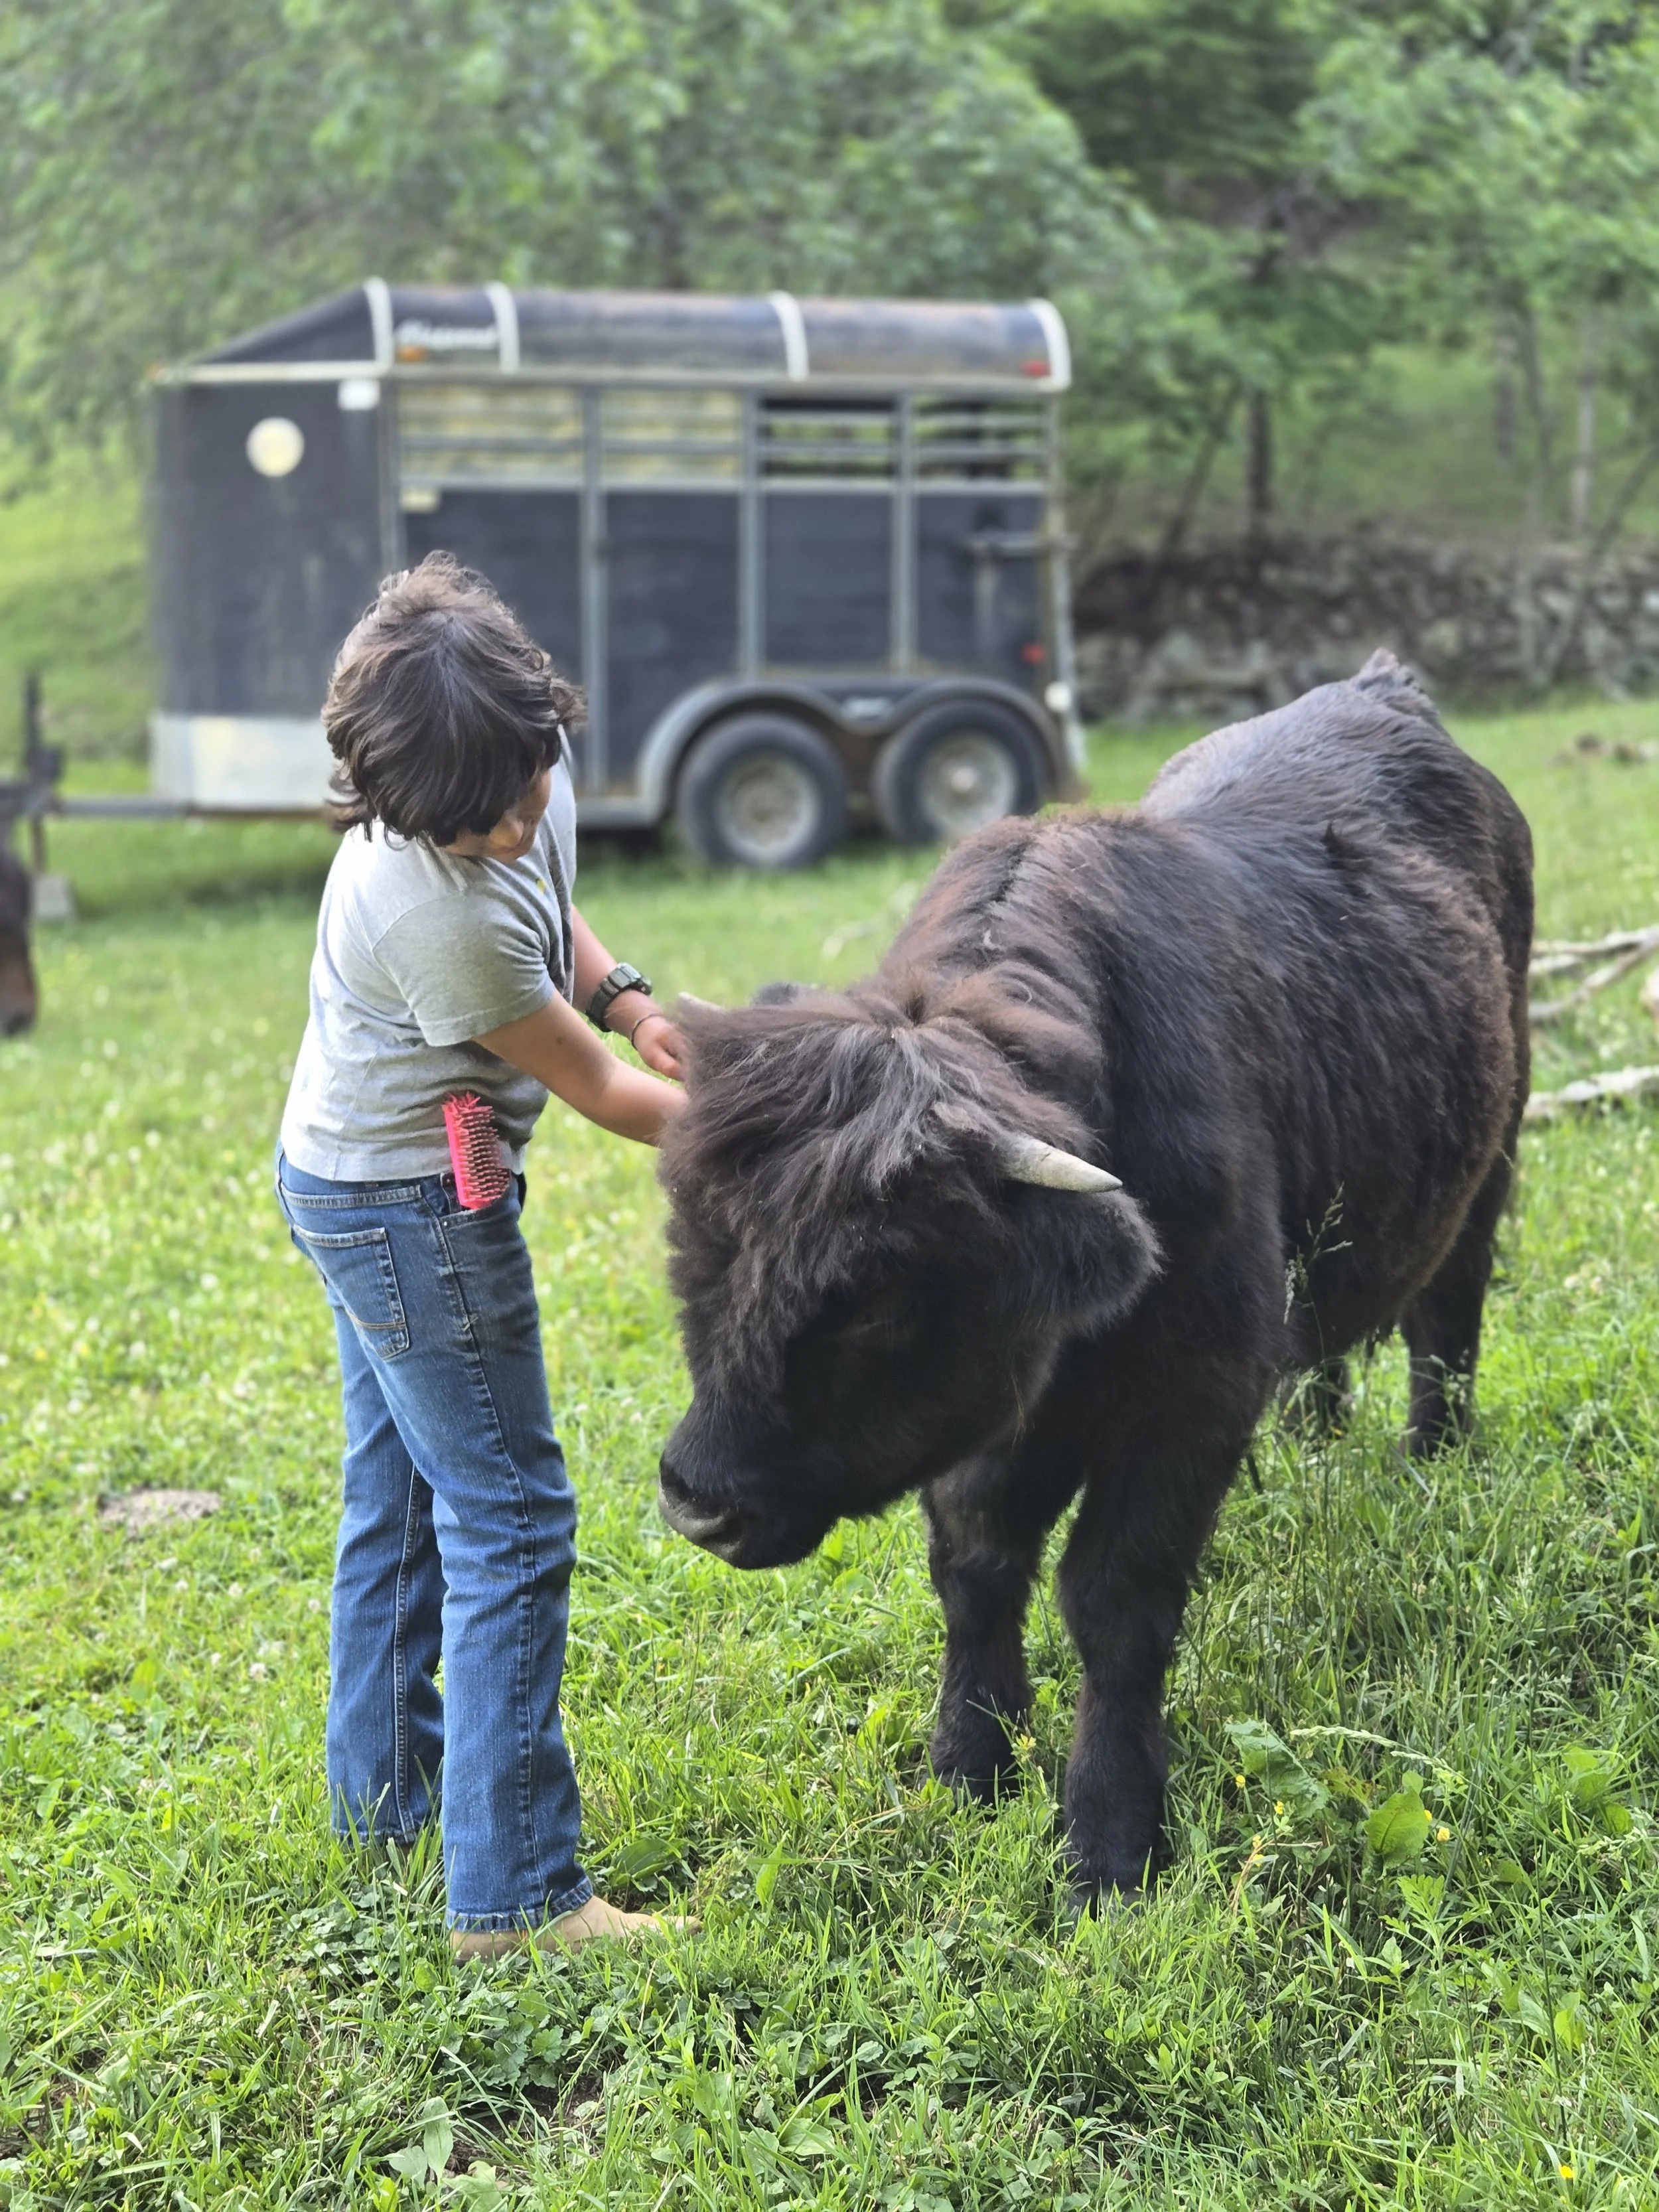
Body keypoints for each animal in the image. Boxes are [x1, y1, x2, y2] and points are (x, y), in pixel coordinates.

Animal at [657, 652, 1532, 1898]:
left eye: (875, 1296)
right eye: (695, 1242)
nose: (698, 1496)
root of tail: (1382, 688)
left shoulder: (1193, 1393)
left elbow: (1115, 1600)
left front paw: (1111, 1834)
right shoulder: (992, 1424)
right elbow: (976, 1567)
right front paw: (969, 1758)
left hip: (1489, 1156)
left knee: (1445, 1323)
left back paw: (1434, 1460)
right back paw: (1317, 1432)